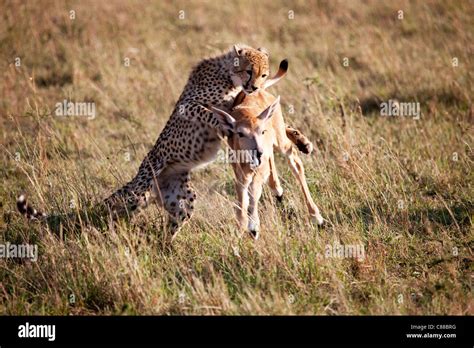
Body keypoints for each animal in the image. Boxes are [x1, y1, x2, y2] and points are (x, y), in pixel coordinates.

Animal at [17, 43, 314, 239]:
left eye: (263, 74)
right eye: (249, 71)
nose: (255, 86)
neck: (227, 73)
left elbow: (276, 126)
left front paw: (301, 140)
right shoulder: (192, 106)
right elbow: (214, 115)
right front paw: (230, 128)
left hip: (183, 200)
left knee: (168, 228)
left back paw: (168, 248)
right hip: (136, 194)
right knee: (109, 213)